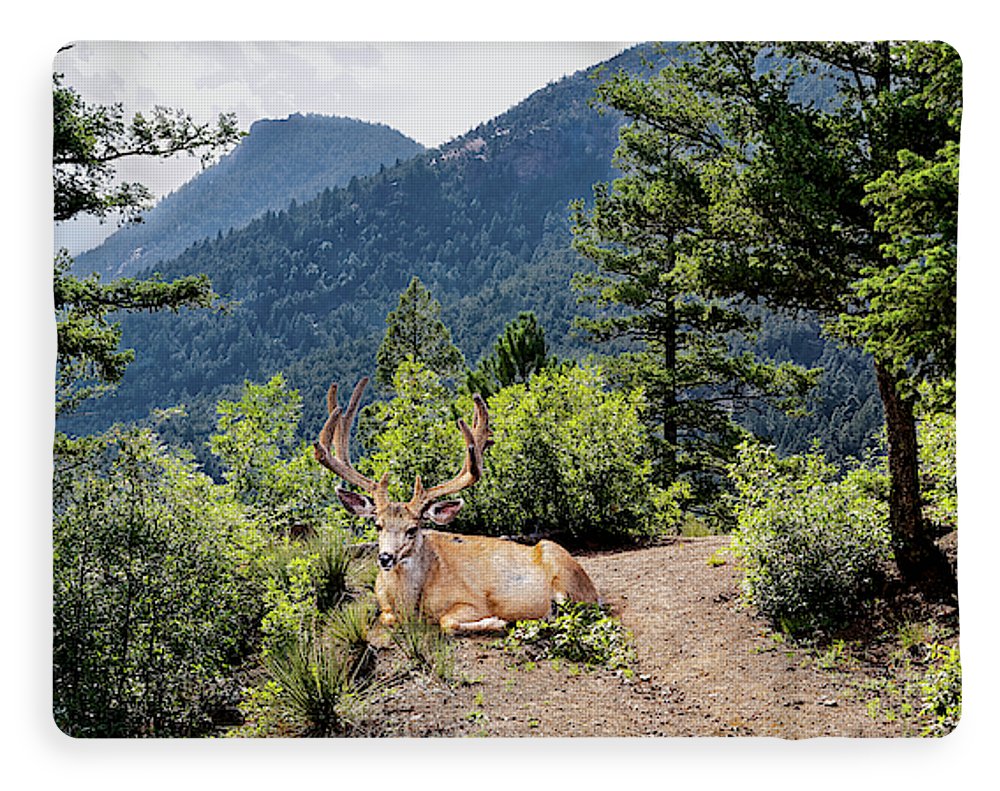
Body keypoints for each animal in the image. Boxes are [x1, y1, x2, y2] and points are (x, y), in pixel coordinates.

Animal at [312, 380, 596, 636]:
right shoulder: (384, 605)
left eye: (413, 529)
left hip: (561, 567)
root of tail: (593, 589)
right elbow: (387, 617)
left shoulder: (472, 601)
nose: (385, 557)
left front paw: (497, 621)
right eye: (377, 525)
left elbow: (446, 622)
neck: (409, 604)